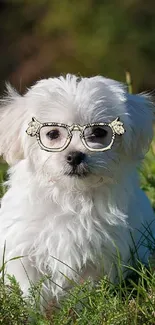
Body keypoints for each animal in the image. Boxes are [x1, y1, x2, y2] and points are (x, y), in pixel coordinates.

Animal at [0, 74, 154, 302]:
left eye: (98, 132)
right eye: (52, 133)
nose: (74, 156)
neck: (72, 196)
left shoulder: (100, 255)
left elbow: (86, 291)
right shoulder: (24, 249)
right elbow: (29, 287)